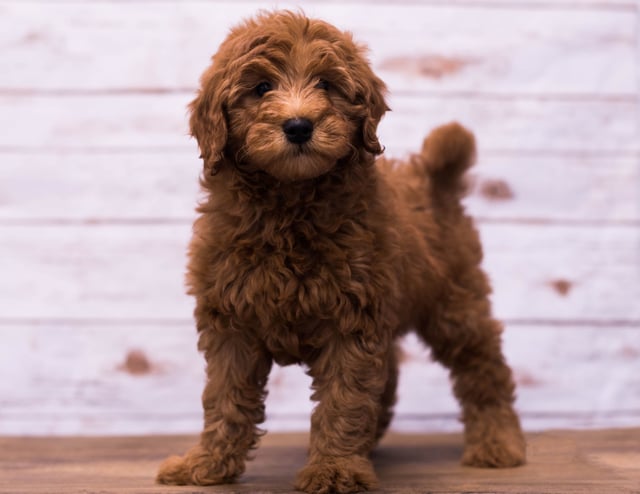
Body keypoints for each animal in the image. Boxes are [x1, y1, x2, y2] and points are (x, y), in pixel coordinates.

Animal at [159, 9, 524, 492]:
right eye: (261, 87)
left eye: (326, 84)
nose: (298, 126)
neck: (289, 203)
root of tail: (432, 176)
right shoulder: (231, 321)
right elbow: (224, 398)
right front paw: (207, 464)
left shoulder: (350, 323)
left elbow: (344, 398)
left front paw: (334, 468)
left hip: (454, 302)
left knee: (483, 367)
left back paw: (498, 442)